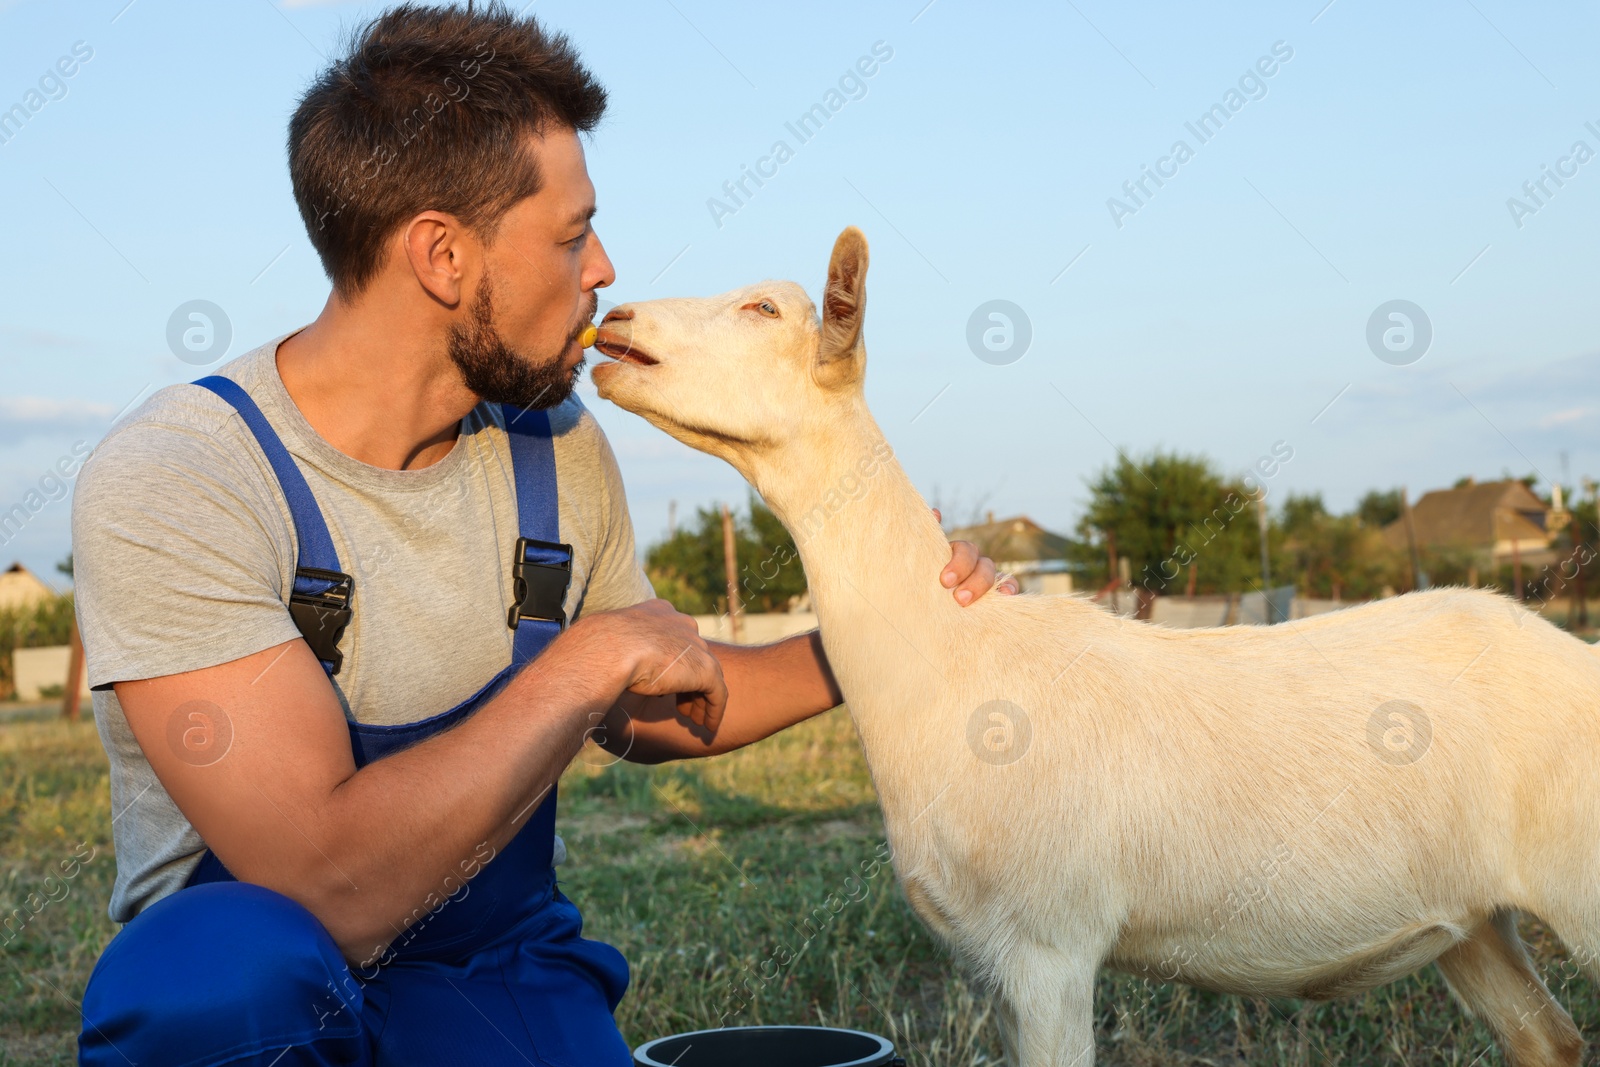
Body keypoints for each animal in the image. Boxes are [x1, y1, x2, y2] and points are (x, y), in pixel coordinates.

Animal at [595, 227, 1600, 1067]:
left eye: (764, 308)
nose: (615, 322)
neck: (951, 665)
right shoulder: (994, 956)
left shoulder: (1049, 943)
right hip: (1473, 918)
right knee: (1549, 1040)